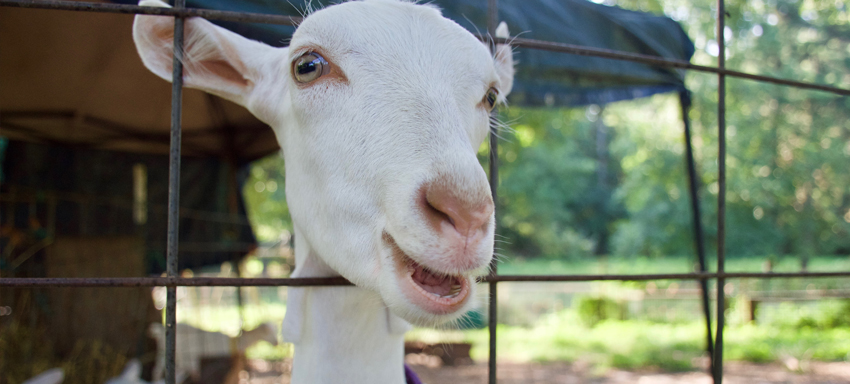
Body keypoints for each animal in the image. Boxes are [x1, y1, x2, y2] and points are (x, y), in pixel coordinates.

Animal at [147, 322, 276, 380]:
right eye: (268, 333)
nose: (277, 342)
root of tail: (160, 330)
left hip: (163, 355)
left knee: (156, 371)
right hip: (186, 359)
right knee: (188, 374)